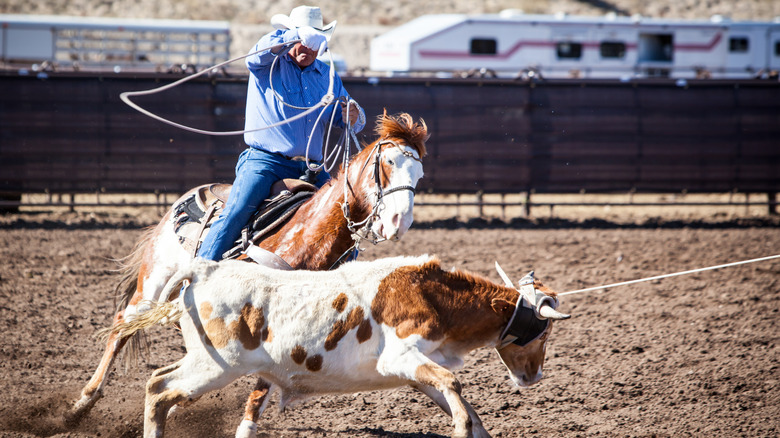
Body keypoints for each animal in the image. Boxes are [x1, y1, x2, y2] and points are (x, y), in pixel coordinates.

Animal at [68, 112, 430, 424]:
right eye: (388, 163)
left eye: (419, 175)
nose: (399, 221)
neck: (305, 239)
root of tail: (189, 196)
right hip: (152, 285)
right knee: (121, 326)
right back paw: (80, 405)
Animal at [120, 255, 572, 438]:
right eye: (544, 332)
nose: (534, 376)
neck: (431, 295)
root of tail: (206, 269)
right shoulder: (401, 356)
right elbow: (454, 385)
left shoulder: (416, 370)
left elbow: (457, 399)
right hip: (216, 366)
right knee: (158, 390)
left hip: (203, 363)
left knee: (158, 381)